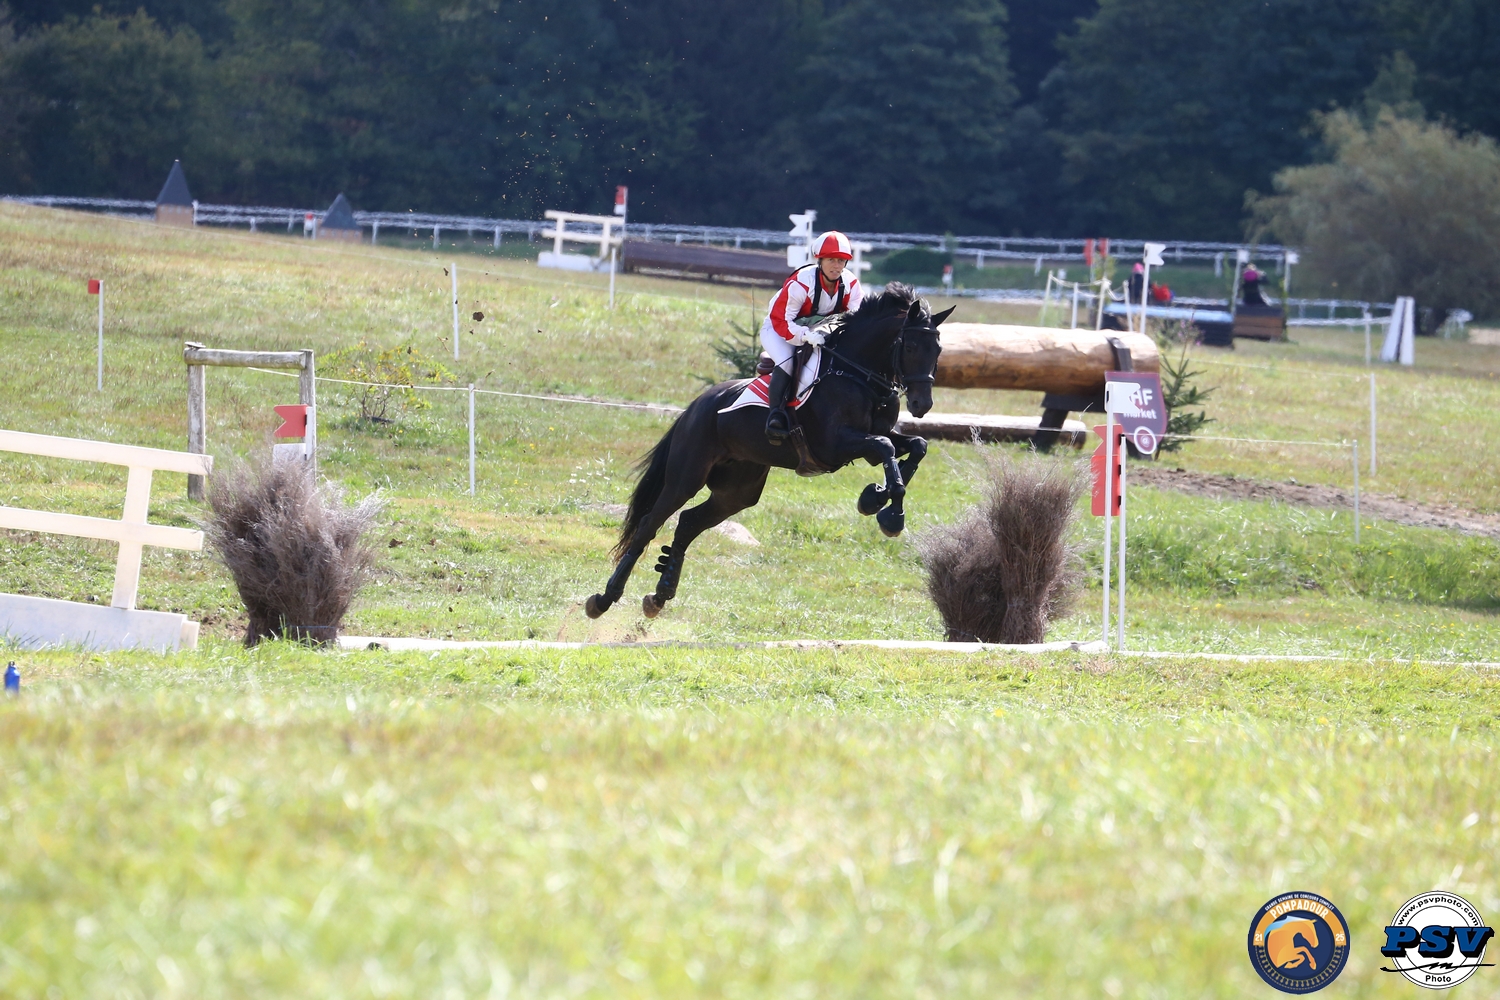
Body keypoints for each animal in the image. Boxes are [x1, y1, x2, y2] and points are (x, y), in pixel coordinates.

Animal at [585, 281, 948, 620]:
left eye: (939, 349)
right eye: (911, 346)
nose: (922, 405)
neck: (858, 374)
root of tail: (696, 406)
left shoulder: (874, 436)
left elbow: (915, 446)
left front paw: (876, 498)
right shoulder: (835, 444)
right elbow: (886, 448)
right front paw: (890, 513)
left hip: (738, 490)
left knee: (688, 523)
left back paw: (660, 595)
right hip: (686, 477)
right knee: (650, 523)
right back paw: (603, 599)